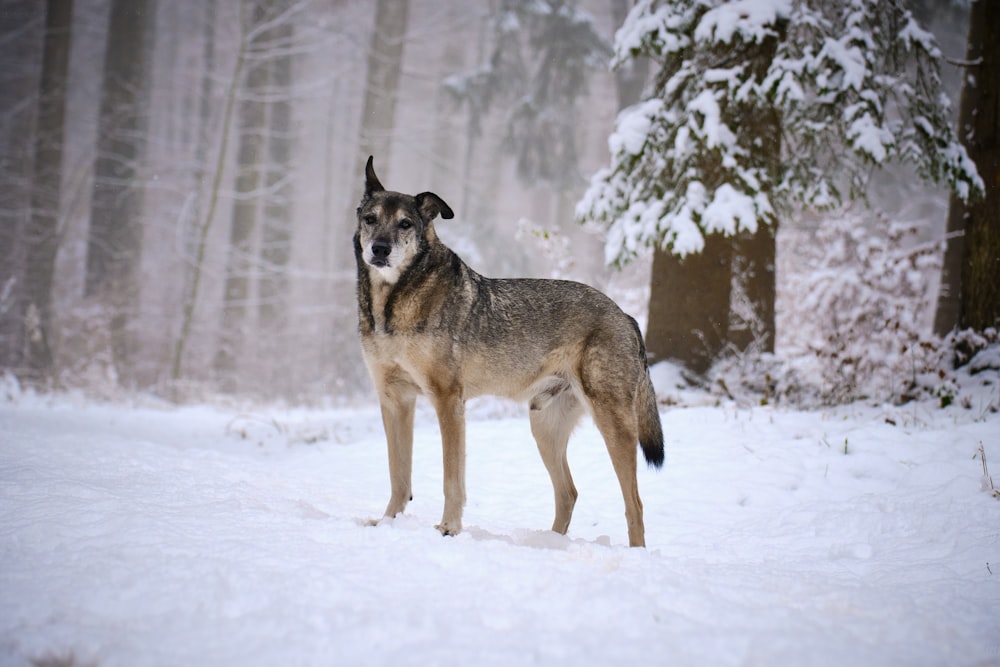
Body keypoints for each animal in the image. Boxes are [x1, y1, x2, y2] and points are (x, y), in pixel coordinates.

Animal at [352, 157, 664, 548]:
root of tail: (626, 315)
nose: (379, 249)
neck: (392, 303)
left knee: (634, 504)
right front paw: (387, 524)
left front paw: (449, 529)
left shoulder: (448, 401)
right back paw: (548, 545)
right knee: (569, 493)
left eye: (405, 224)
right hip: (543, 427)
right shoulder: (394, 400)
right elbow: (399, 476)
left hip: (613, 425)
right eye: (371, 218)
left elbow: (451, 479)